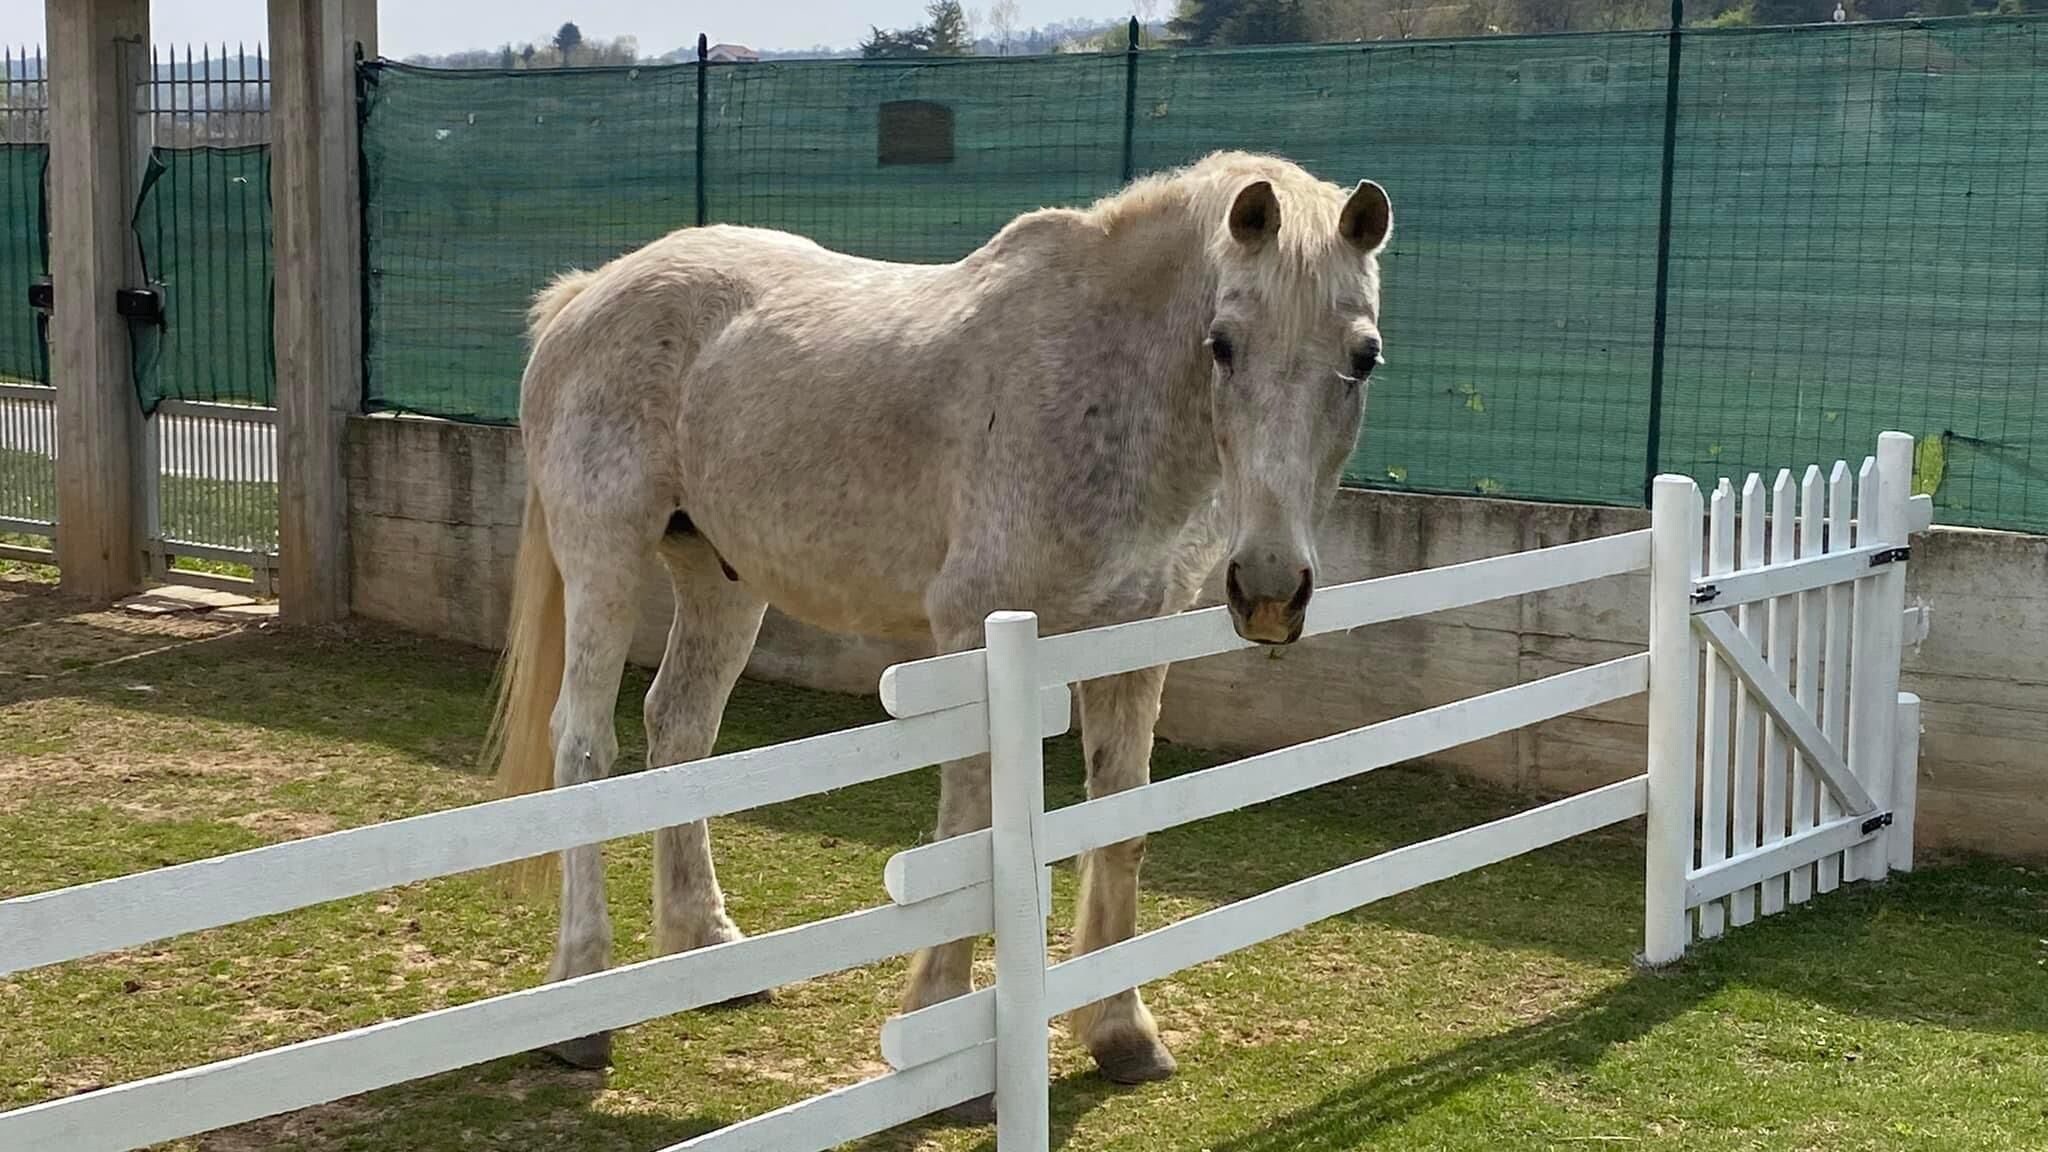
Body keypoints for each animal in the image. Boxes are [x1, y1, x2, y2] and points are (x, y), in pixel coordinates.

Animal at [486, 150, 1393, 1097]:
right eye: (1222, 344)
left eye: (1363, 357)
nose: (1269, 587)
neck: (1098, 380)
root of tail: (586, 293)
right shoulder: (973, 635)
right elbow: (970, 830)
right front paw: (945, 1032)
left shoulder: (1131, 646)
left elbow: (1122, 826)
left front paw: (1122, 1034)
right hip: (605, 558)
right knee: (585, 747)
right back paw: (582, 1002)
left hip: (721, 579)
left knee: (680, 732)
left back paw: (707, 952)